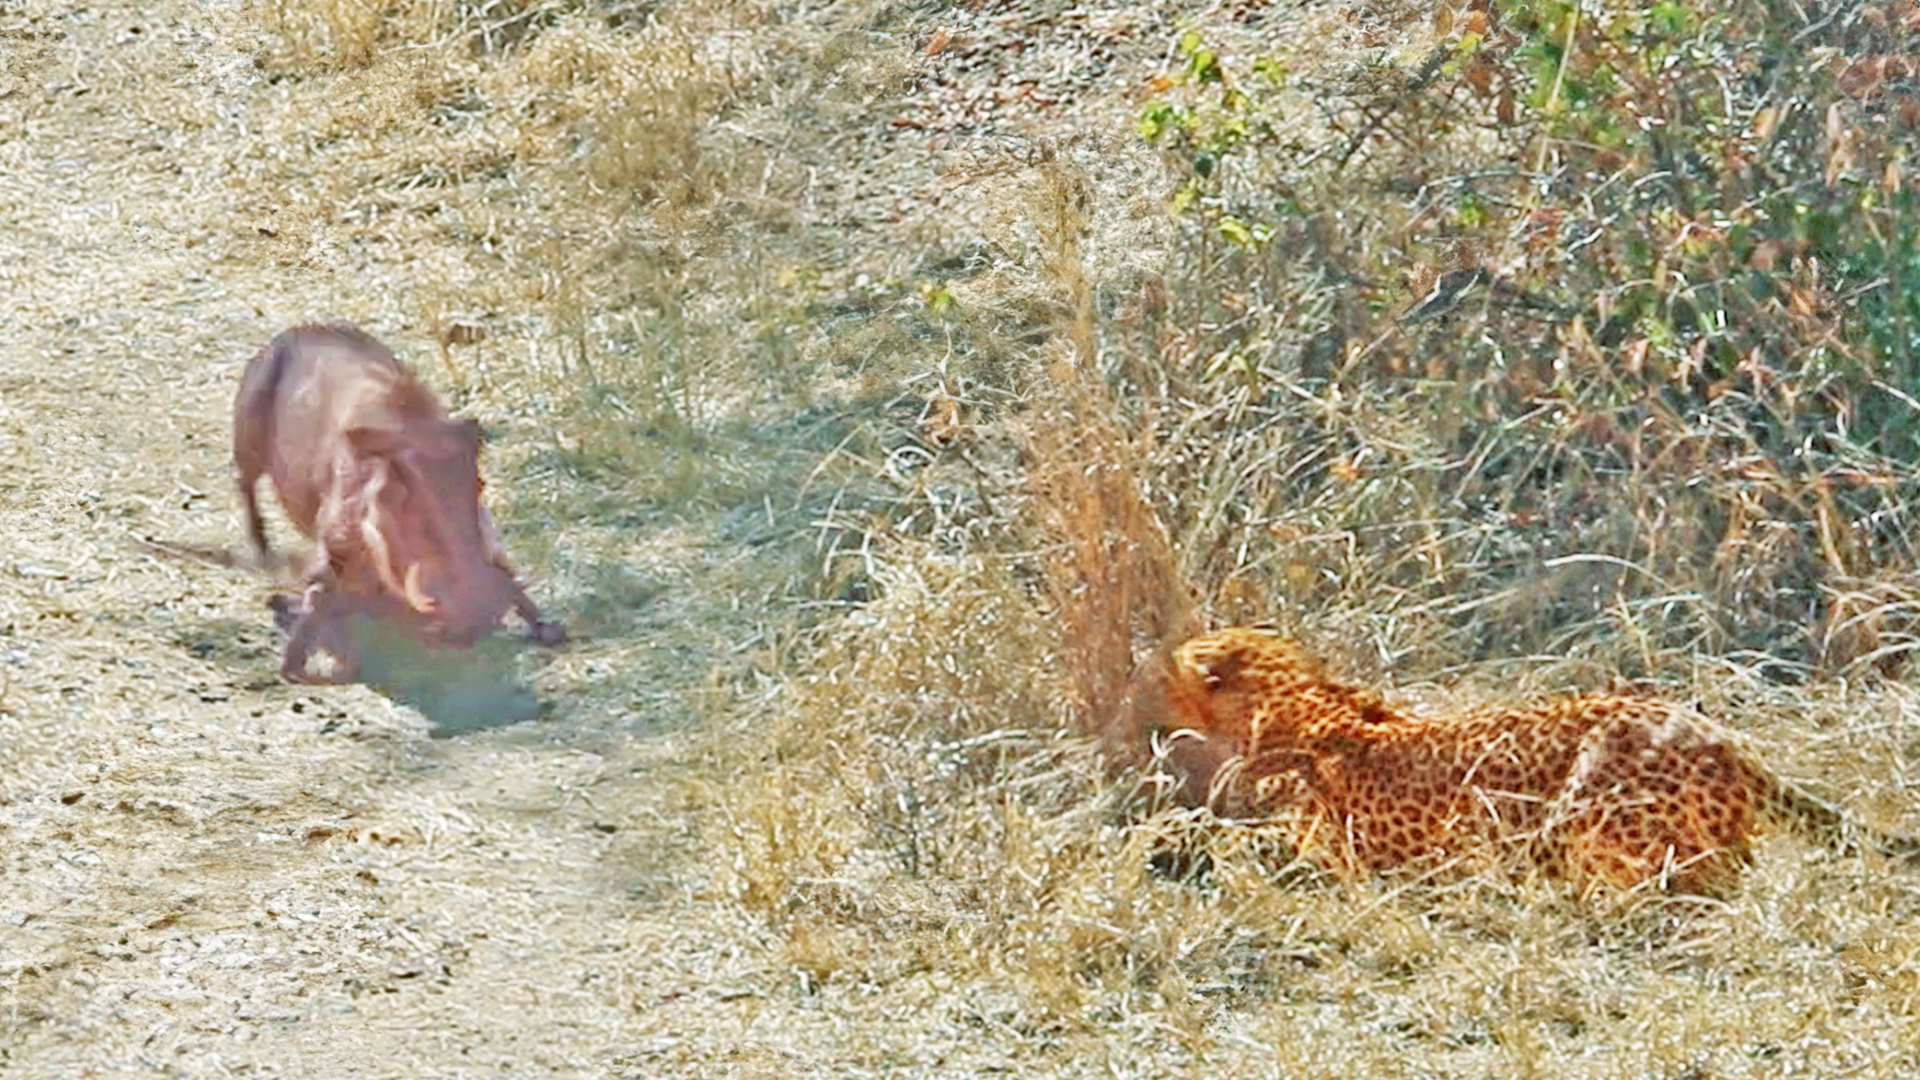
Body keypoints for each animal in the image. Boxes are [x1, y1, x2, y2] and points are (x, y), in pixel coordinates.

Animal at [1159, 622, 1912, 891]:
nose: (1159, 658)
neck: (1301, 699)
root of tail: (1719, 736)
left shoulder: (1323, 848)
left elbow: (1234, 839)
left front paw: (1174, 844)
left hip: (1587, 809)